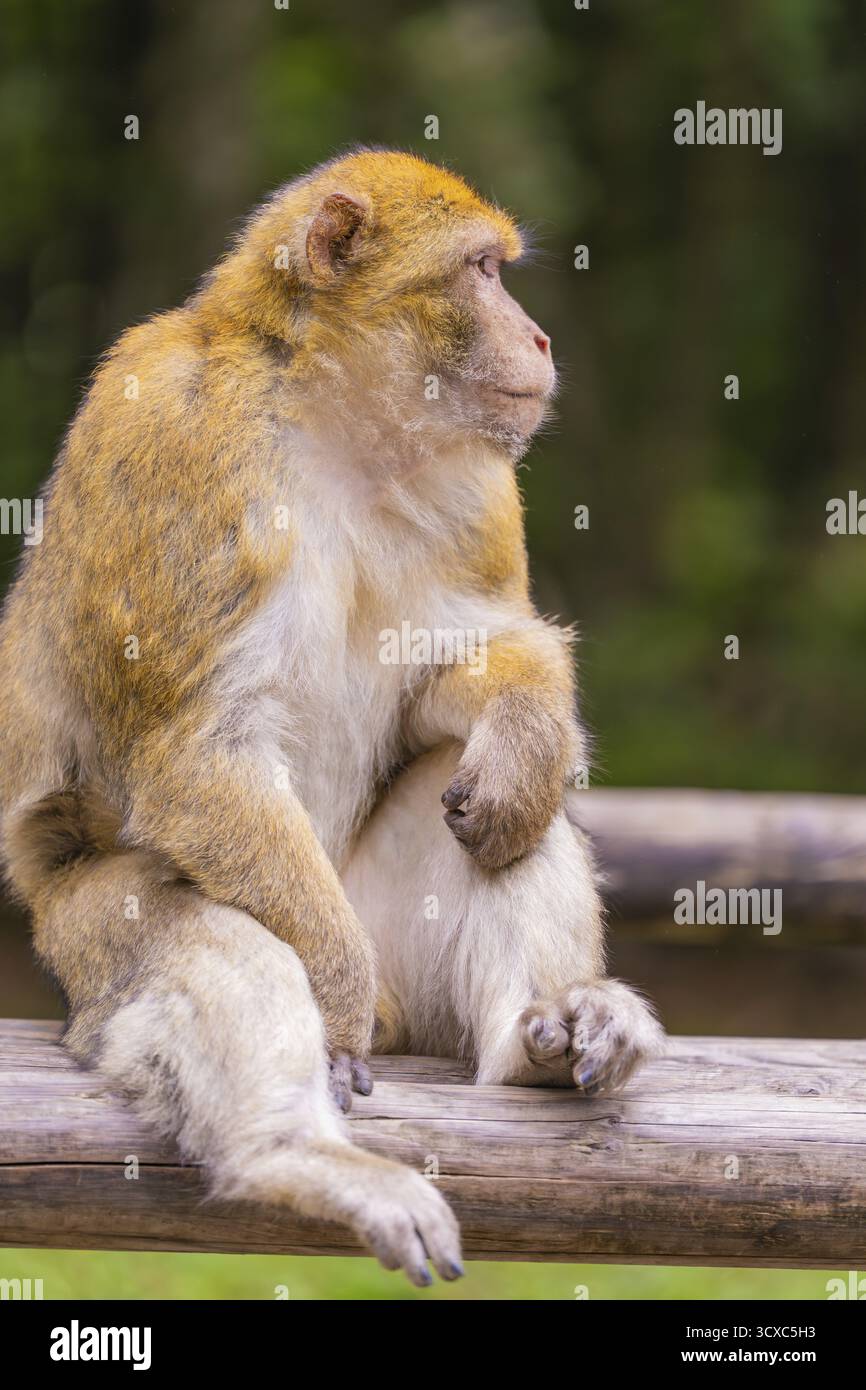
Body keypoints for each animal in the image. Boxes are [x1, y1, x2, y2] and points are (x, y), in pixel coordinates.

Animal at [0, 149, 664, 1286]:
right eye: (481, 270)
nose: (538, 339)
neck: (330, 424)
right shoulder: (172, 435)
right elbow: (196, 754)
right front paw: (335, 1003)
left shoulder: (475, 481)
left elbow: (461, 668)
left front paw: (522, 737)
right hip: (86, 940)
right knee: (211, 938)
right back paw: (300, 1152)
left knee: (492, 814)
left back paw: (551, 1030)